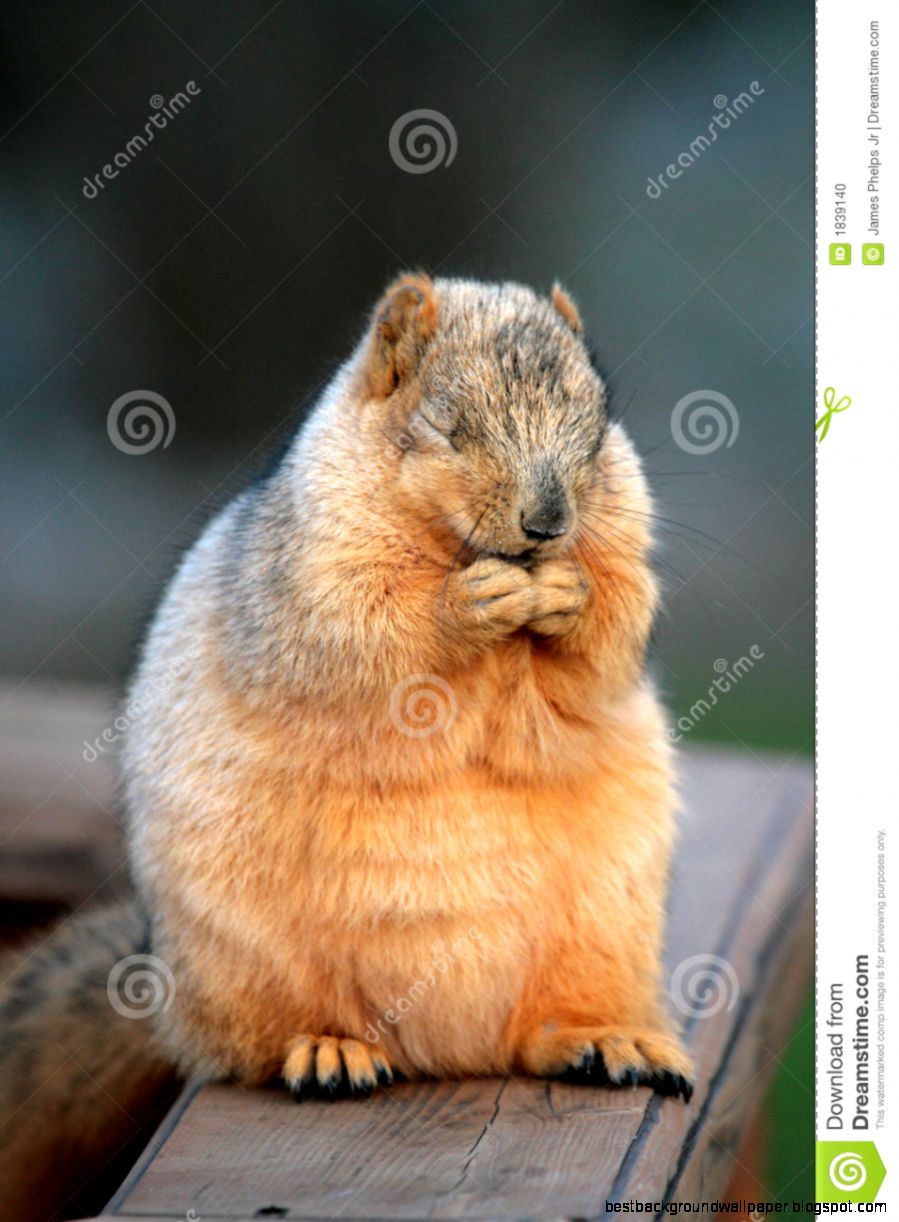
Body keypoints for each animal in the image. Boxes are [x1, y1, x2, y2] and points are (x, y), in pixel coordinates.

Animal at [0, 274, 692, 1218]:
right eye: (445, 426)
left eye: (596, 429)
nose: (548, 523)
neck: (455, 543)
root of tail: (450, 1050)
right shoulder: (316, 565)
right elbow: (368, 635)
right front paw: (463, 607)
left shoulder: (622, 534)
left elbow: (608, 638)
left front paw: (568, 596)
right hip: (249, 957)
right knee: (254, 1046)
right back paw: (326, 1051)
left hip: (602, 927)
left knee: (538, 1029)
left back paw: (601, 1040)